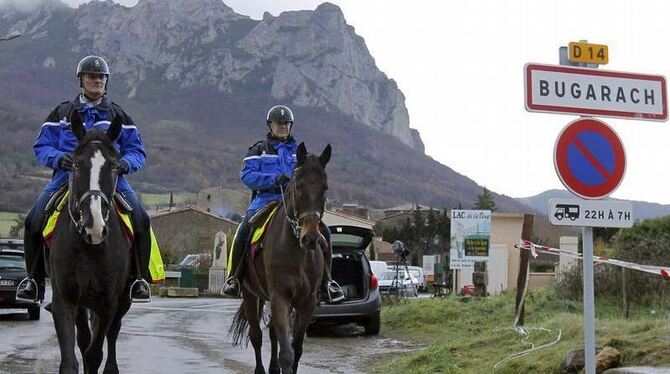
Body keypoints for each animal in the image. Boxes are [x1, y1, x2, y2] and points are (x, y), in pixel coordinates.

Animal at [48, 112, 133, 374]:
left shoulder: (108, 303)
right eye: (75, 165)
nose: (93, 227)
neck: (89, 249)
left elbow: (95, 354)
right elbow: (70, 359)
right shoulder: (64, 299)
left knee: (112, 334)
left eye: (115, 166)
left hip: (121, 301)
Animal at [231, 142, 334, 374]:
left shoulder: (307, 302)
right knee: (257, 336)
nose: (310, 238)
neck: (298, 254)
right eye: (298, 186)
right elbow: (286, 354)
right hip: (250, 295)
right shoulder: (280, 298)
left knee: (272, 335)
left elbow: (296, 349)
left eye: (324, 188)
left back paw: (272, 368)